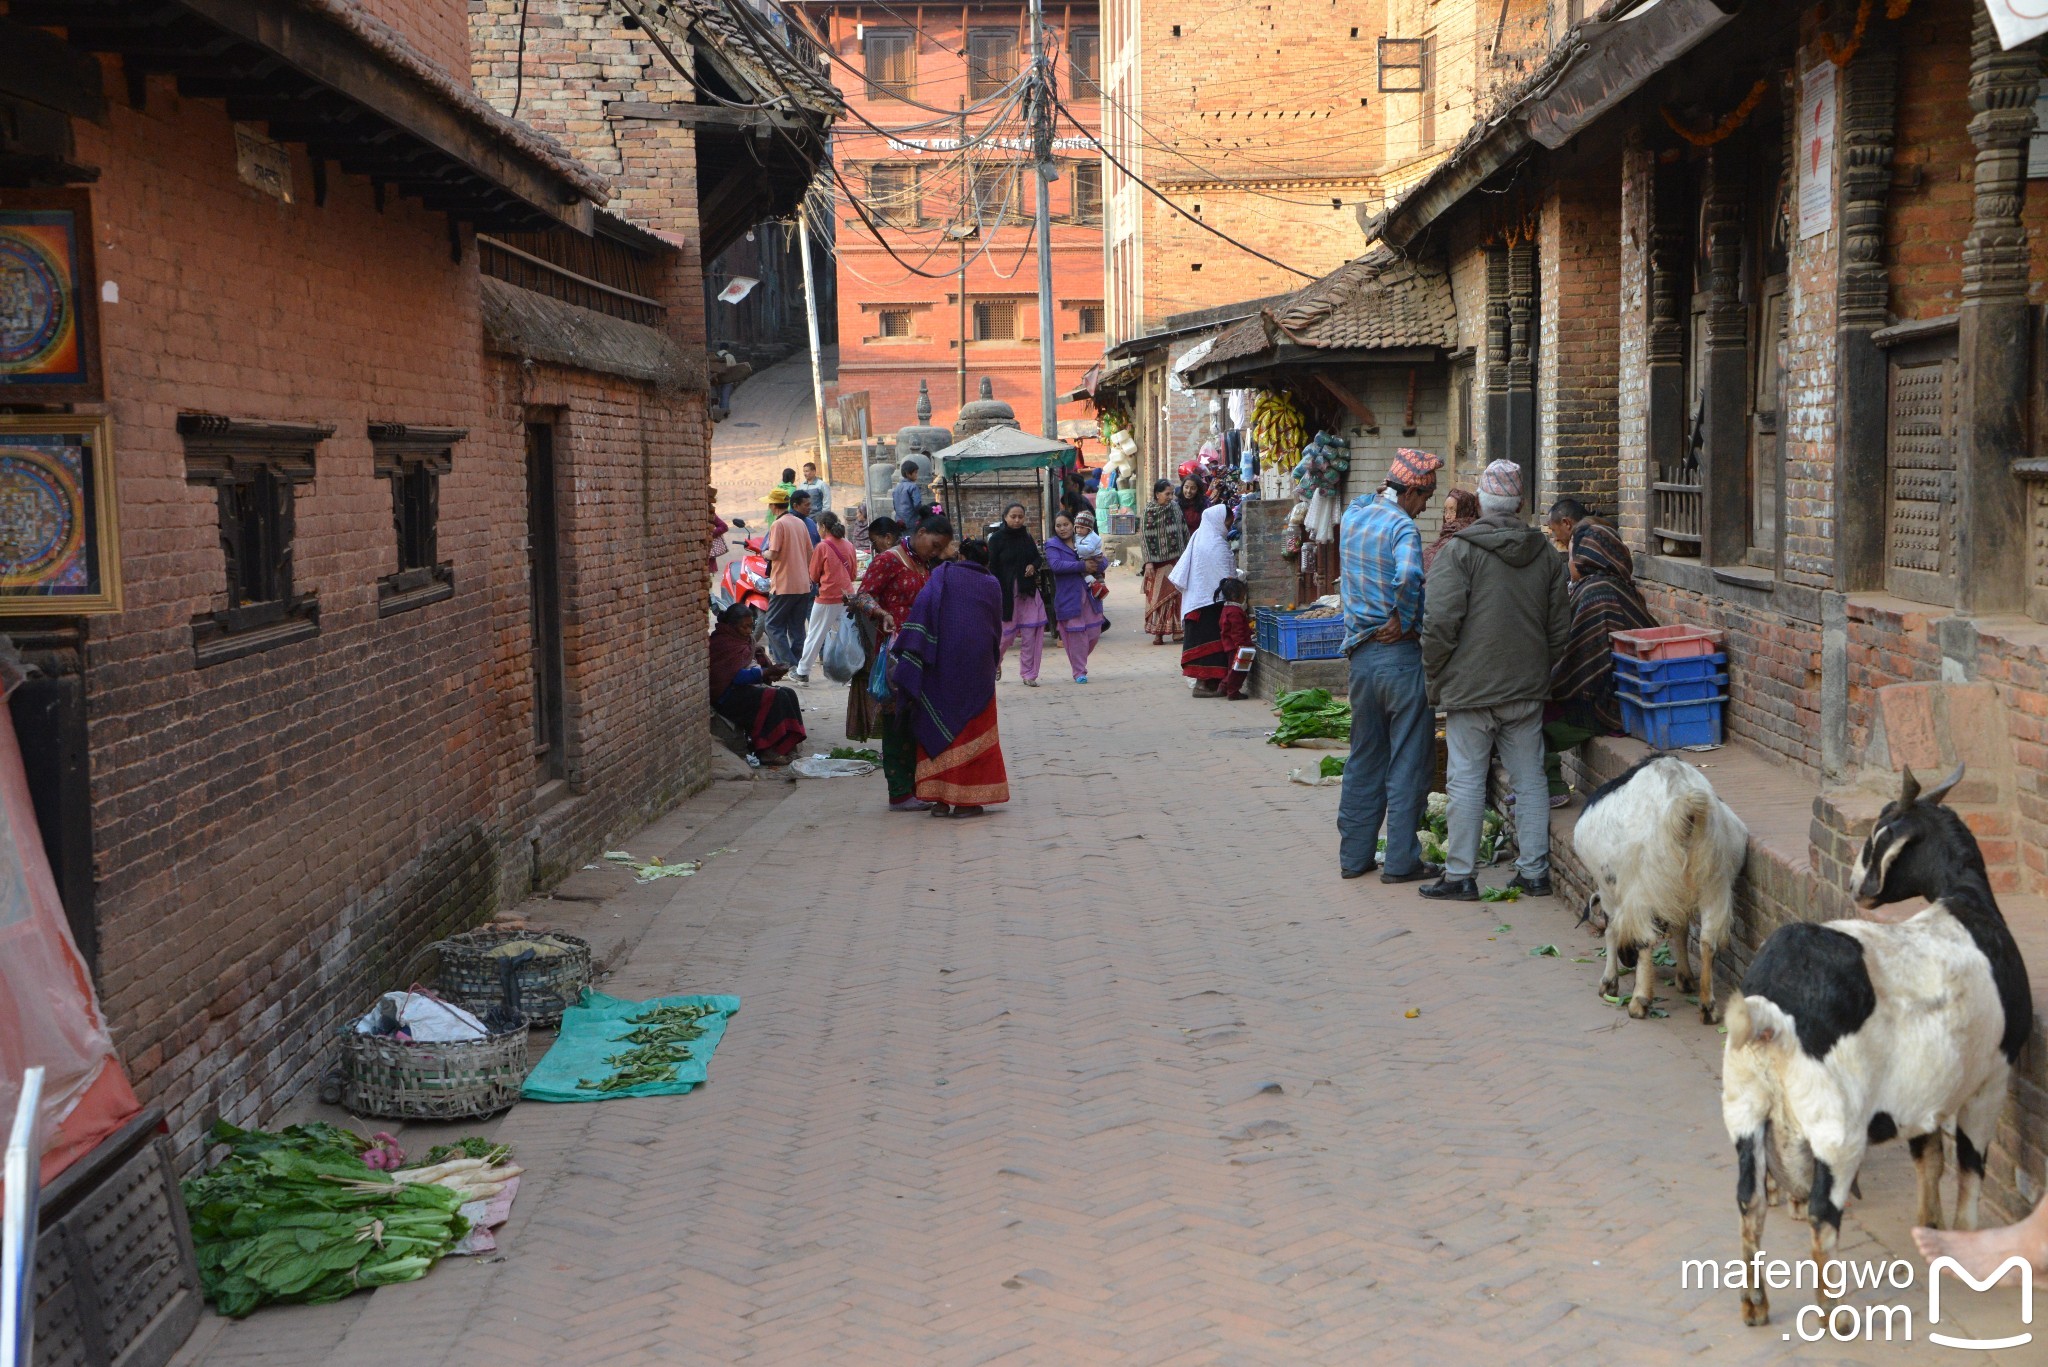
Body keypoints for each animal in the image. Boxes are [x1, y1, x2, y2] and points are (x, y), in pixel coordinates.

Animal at [1564, 754, 1744, 1020]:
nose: (1628, 960)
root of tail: (1683, 801)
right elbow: (1680, 929)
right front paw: (1684, 978)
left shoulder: (1611, 892)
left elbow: (1611, 930)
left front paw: (1609, 983)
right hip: (1716, 883)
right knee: (1707, 940)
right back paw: (1707, 1006)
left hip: (1644, 888)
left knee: (1646, 940)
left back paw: (1639, 1001)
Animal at [1712, 758, 2031, 1328]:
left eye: (1879, 834)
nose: (1858, 885)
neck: (1966, 902)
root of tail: (1771, 1010)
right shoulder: (1991, 1078)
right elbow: (1970, 1162)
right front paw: (1966, 1238)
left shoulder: (1921, 1092)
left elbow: (1930, 1159)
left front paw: (1931, 1227)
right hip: (1836, 1126)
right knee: (1823, 1210)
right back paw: (1834, 1312)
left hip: (1745, 1104)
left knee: (1749, 1201)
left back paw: (1754, 1304)